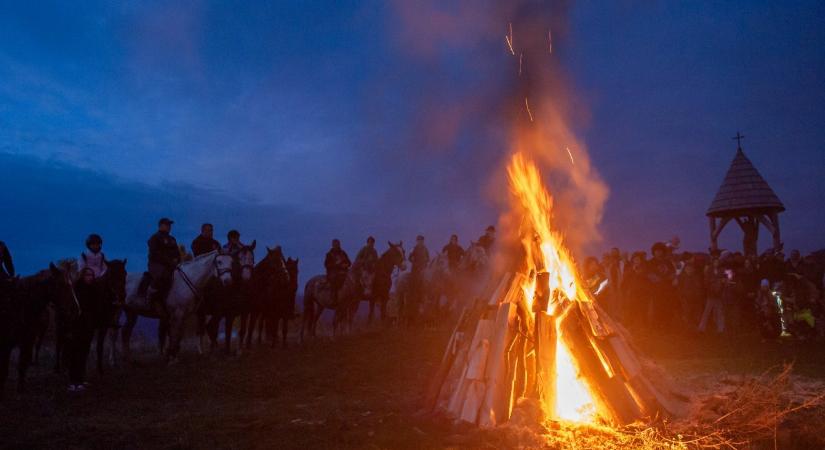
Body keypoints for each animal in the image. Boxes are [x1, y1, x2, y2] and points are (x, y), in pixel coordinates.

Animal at [0, 264, 77, 398]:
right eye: (63, 284)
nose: (76, 309)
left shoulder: (27, 340)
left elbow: (22, 364)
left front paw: (20, 389)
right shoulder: (7, 343)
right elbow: (5, 370)